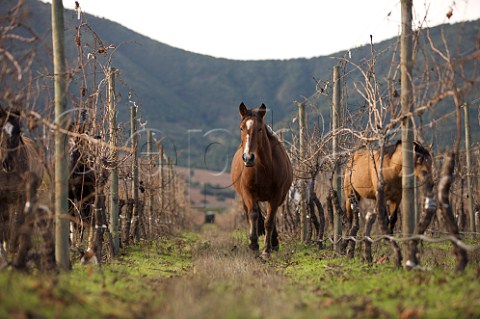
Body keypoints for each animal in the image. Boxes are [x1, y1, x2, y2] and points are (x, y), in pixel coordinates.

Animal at [0, 106, 44, 262]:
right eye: (1, 128)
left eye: (19, 130)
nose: (7, 163)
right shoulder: (3, 198)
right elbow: (4, 226)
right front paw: (4, 252)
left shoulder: (21, 197)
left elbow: (18, 222)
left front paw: (13, 250)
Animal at [232, 102, 294, 258]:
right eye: (241, 128)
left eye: (260, 128)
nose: (248, 158)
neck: (263, 167)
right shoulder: (248, 193)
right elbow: (253, 215)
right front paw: (254, 246)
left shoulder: (276, 195)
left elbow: (269, 221)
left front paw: (267, 250)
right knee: (249, 215)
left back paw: (274, 242)